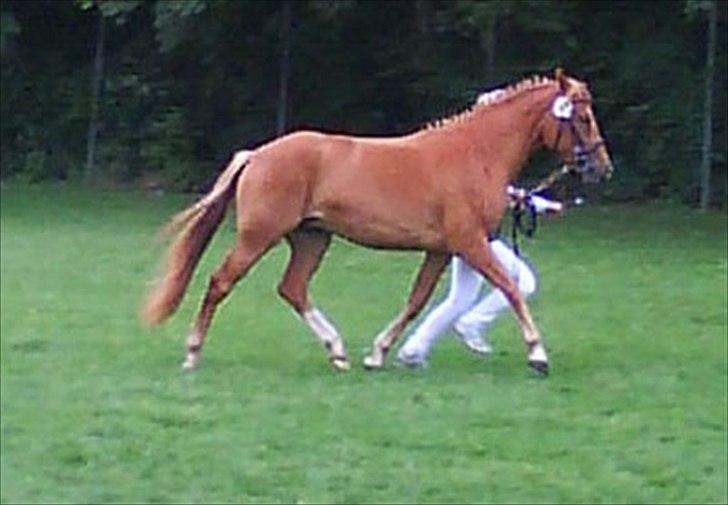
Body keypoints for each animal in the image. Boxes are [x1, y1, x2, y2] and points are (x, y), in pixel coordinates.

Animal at [141, 68, 613, 376]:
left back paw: (337, 352)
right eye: (583, 118)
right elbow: (511, 289)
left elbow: (418, 300)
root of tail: (257, 154)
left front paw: (380, 353)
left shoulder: (442, 249)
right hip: (260, 236)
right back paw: (192, 354)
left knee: (292, 288)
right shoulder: (469, 242)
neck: (476, 154)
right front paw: (538, 355)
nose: (603, 167)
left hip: (312, 239)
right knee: (220, 282)